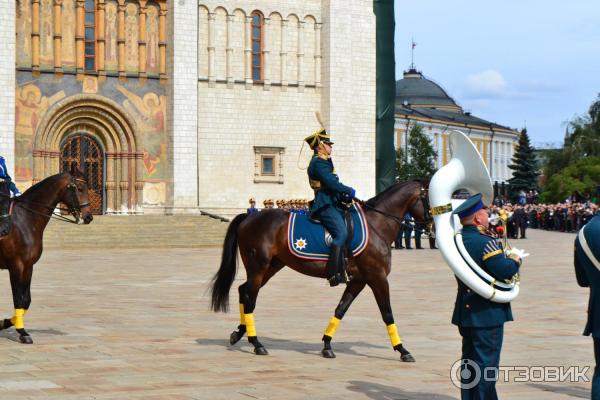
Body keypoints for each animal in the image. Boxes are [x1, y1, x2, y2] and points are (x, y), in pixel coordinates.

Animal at [0, 166, 92, 344]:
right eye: (80, 188)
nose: (89, 217)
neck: (26, 220)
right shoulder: (16, 266)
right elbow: (18, 298)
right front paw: (22, 332)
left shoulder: (28, 266)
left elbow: (26, 300)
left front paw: (5, 323)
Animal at [211, 181, 432, 362]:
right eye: (429, 196)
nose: (430, 225)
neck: (377, 224)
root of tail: (250, 217)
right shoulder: (377, 278)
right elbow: (387, 313)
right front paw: (402, 350)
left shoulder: (359, 280)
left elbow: (340, 309)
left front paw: (326, 344)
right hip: (258, 267)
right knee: (249, 298)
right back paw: (256, 343)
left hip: (271, 267)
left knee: (244, 292)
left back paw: (240, 333)